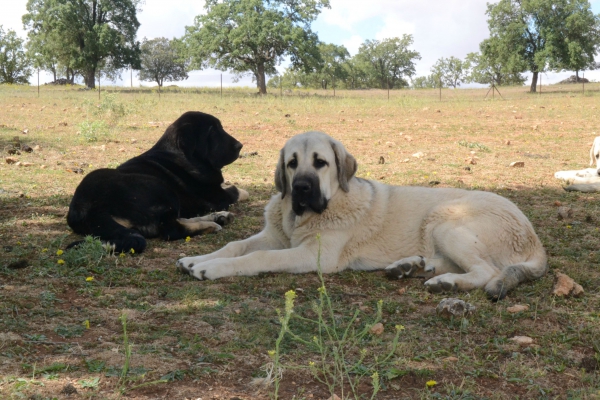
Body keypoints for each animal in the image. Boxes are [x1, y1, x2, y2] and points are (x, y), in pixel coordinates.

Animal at [68, 111, 248, 253]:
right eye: (212, 130)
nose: (240, 145)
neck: (184, 155)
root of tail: (86, 208)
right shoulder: (219, 197)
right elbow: (238, 190)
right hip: (161, 187)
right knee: (172, 229)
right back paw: (211, 223)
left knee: (176, 219)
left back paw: (218, 217)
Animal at [176, 131, 548, 300]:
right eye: (292, 163)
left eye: (320, 163)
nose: (301, 189)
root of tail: (534, 239)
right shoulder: (274, 235)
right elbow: (236, 246)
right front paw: (196, 258)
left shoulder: (314, 254)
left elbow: (258, 257)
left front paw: (211, 268)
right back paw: (411, 267)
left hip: (445, 220)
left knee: (486, 271)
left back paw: (444, 282)